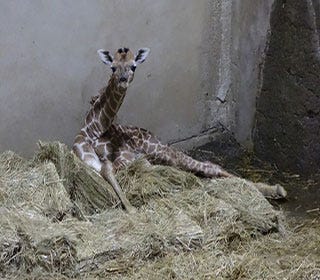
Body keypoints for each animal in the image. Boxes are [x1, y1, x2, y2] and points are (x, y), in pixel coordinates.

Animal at [72, 47, 280, 212]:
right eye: (113, 67)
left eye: (133, 66)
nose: (123, 80)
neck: (93, 130)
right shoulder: (104, 160)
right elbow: (106, 169)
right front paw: (130, 208)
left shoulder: (127, 157)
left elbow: (109, 168)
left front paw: (130, 208)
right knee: (204, 167)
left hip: (163, 150)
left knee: (208, 165)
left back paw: (277, 189)